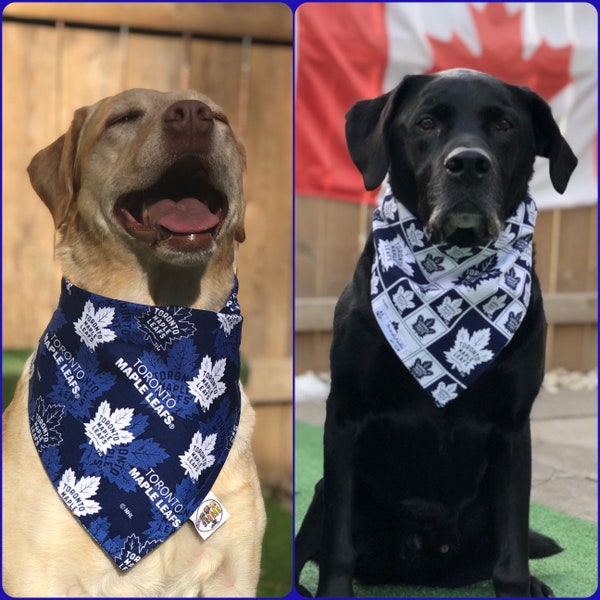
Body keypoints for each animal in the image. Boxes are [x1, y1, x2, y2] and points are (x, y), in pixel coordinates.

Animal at [296, 69, 576, 596]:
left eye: (504, 125)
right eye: (426, 122)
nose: (468, 163)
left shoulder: (514, 426)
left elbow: (512, 546)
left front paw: (520, 583)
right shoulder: (345, 414)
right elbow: (336, 544)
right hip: (324, 492)